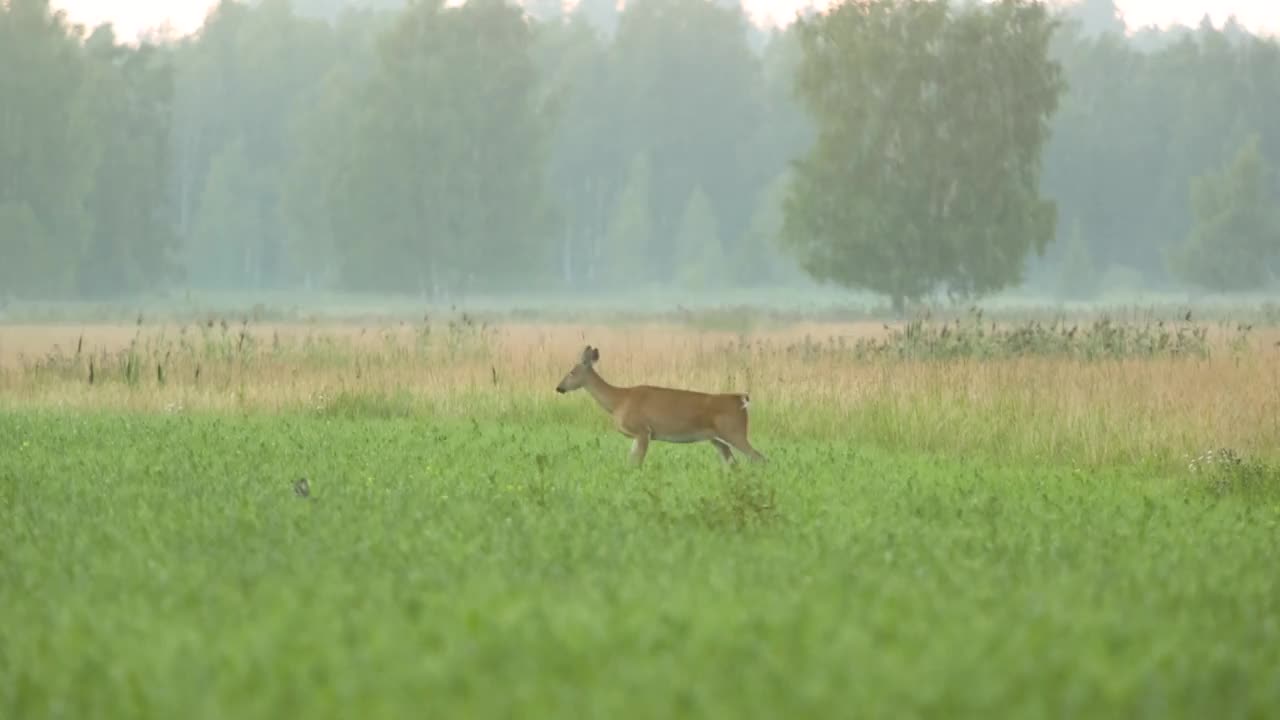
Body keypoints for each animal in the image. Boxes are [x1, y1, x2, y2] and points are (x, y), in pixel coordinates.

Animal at [555, 345, 762, 466]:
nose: (559, 388)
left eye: (572, 372)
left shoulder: (642, 430)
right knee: (733, 464)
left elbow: (636, 463)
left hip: (734, 431)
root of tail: (742, 399)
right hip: (717, 439)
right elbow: (630, 462)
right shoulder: (638, 434)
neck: (618, 400)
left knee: (758, 458)